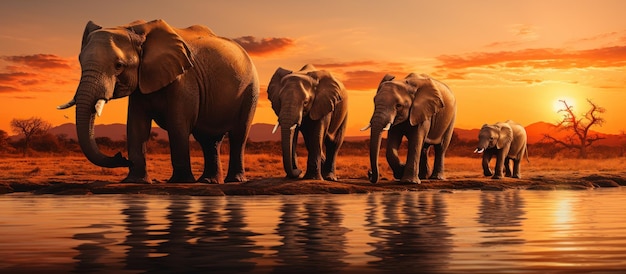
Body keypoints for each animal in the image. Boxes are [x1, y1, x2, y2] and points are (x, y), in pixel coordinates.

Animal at [56, 19, 256, 184]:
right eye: (80, 61)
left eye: (119, 65)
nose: (121, 157)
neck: (134, 29)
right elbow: (136, 126)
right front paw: (136, 182)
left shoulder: (184, 78)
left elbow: (177, 124)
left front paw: (179, 182)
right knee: (208, 139)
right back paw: (209, 181)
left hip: (250, 89)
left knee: (239, 134)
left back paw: (233, 180)